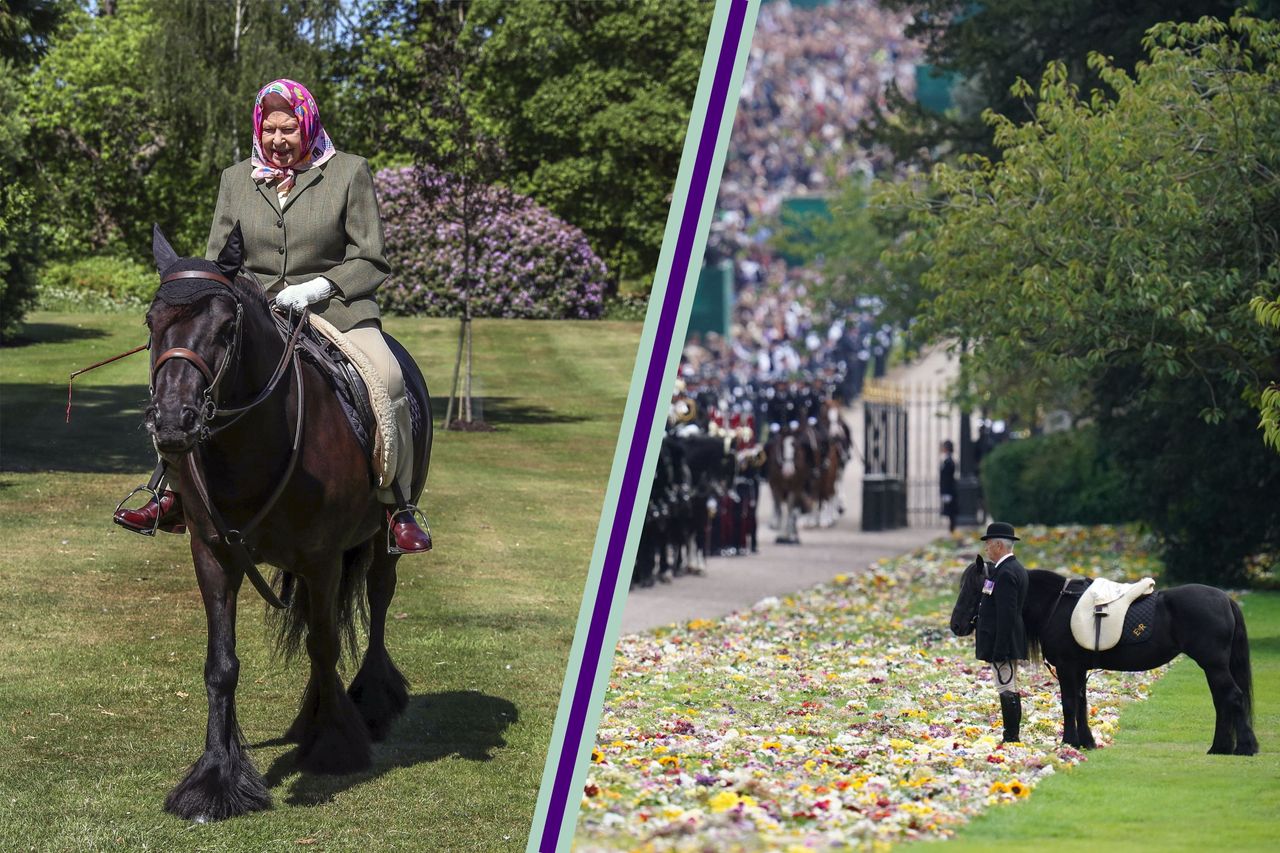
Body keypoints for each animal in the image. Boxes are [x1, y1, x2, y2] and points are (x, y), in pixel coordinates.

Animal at [147, 224, 432, 819]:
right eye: (151, 321)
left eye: (227, 327)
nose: (173, 422)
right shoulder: (213, 554)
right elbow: (221, 664)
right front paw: (216, 778)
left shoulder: (322, 558)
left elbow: (324, 646)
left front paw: (334, 745)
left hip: (382, 540)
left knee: (377, 601)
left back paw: (371, 701)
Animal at [947, 558, 1254, 753]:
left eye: (974, 587)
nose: (956, 625)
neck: (1055, 605)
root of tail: (1225, 599)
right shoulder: (1079, 668)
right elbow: (1082, 703)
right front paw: (1087, 742)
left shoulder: (1068, 667)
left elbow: (1070, 704)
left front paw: (1069, 742)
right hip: (1213, 666)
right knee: (1222, 701)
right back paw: (1220, 747)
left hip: (1213, 665)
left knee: (1233, 698)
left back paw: (1244, 747)